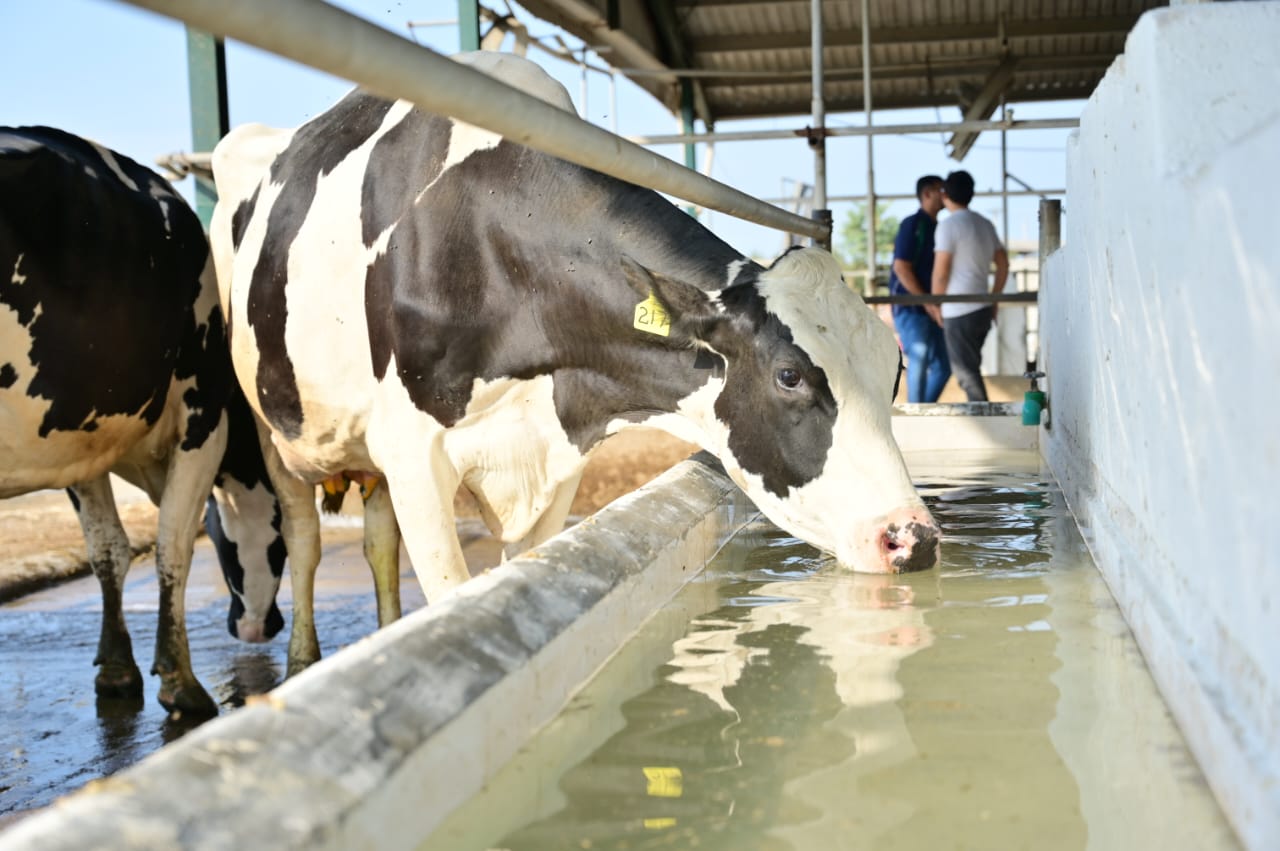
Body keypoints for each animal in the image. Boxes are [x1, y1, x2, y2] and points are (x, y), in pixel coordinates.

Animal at [0, 126, 284, 717]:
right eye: (279, 544)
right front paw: (182, 681)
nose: (261, 627)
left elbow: (107, 550)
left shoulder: (78, 441)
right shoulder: (203, 421)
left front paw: (117, 669)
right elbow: (171, 545)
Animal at [210, 51, 940, 677]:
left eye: (893, 373)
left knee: (376, 541)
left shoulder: (554, 451)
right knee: (303, 538)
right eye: (789, 374)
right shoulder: (416, 455)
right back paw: (304, 658)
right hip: (275, 429)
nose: (914, 538)